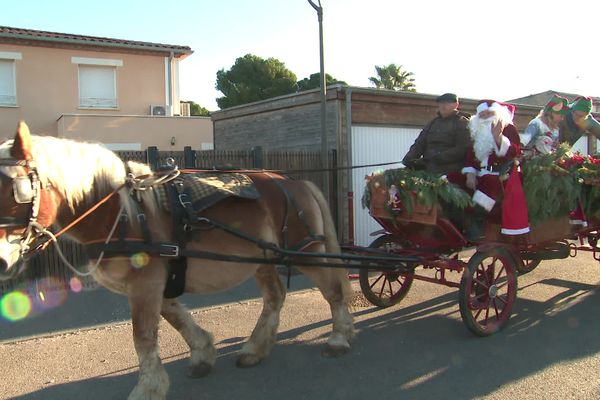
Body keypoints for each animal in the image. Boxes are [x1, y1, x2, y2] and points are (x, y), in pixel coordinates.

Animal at [0, 122, 356, 400]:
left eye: (19, 192)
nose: (3, 261)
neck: (121, 211)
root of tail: (294, 182)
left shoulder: (145, 283)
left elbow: (144, 335)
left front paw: (149, 388)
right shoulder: (157, 280)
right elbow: (174, 316)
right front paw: (202, 352)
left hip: (307, 250)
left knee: (333, 291)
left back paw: (339, 338)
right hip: (263, 258)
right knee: (275, 297)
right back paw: (255, 349)